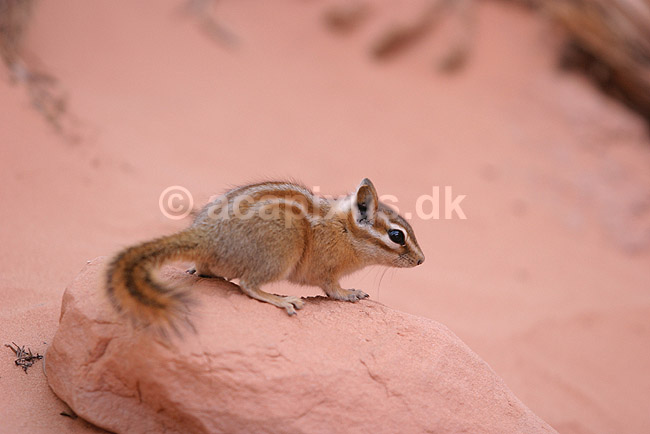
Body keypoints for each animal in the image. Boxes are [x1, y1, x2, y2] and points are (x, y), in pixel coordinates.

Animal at [106, 179, 425, 332]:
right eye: (397, 236)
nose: (421, 260)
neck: (344, 229)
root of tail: (207, 236)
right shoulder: (326, 272)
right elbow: (332, 289)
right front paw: (351, 293)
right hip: (280, 252)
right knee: (248, 285)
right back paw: (281, 299)